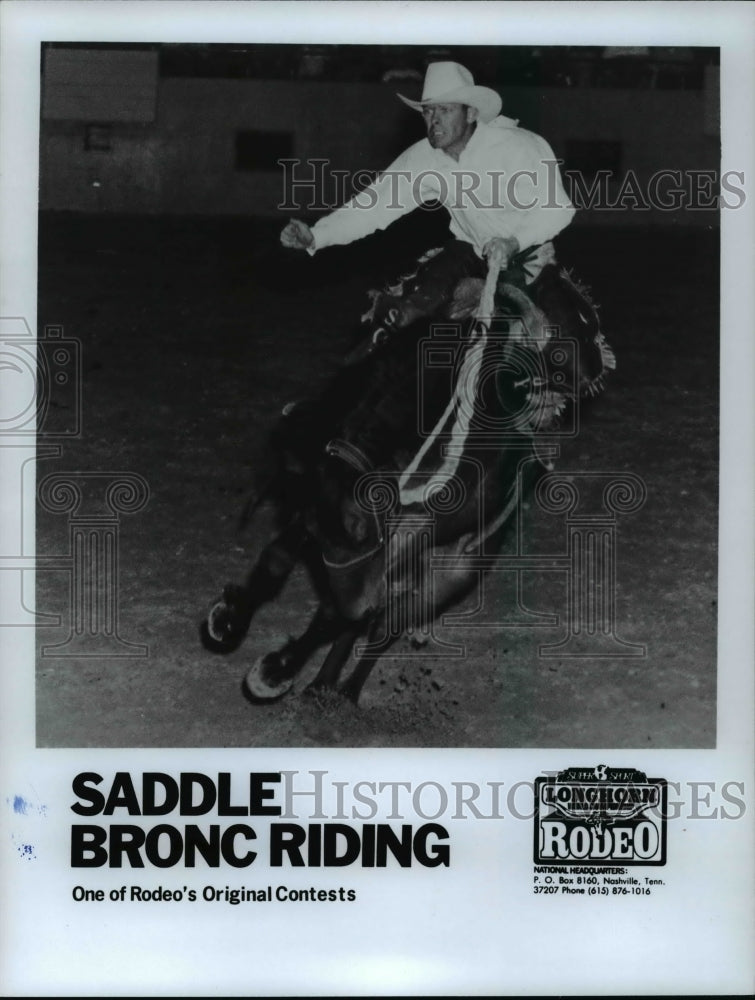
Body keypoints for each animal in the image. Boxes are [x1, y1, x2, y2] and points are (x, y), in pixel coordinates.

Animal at [202, 244, 616, 704]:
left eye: (362, 529)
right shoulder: (318, 509)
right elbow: (277, 560)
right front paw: (229, 618)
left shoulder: (409, 529)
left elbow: (339, 611)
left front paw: (275, 669)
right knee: (372, 616)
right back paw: (325, 684)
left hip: (452, 571)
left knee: (385, 624)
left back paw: (346, 690)